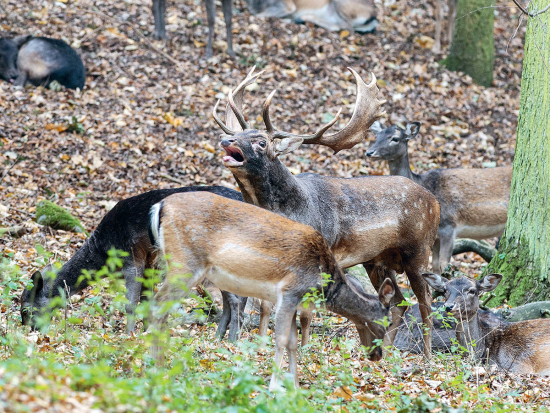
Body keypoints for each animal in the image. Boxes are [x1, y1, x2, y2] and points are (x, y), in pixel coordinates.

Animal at [147, 192, 396, 388]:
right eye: (388, 322)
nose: (377, 355)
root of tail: (160, 206)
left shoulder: (295, 301)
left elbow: (293, 342)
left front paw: (294, 387)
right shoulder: (290, 291)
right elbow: (281, 339)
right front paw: (274, 387)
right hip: (185, 264)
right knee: (157, 307)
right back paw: (155, 368)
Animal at [213, 67, 442, 358]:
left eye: (261, 141)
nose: (226, 138)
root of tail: (434, 201)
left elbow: (307, 313)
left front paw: (304, 349)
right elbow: (265, 304)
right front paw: (261, 343)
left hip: (419, 251)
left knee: (425, 304)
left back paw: (427, 355)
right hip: (376, 260)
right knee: (398, 303)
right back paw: (387, 354)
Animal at [368, 120, 516, 272]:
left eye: (395, 138)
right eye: (376, 136)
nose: (369, 152)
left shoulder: (449, 227)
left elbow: (444, 265)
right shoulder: (436, 236)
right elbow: (434, 266)